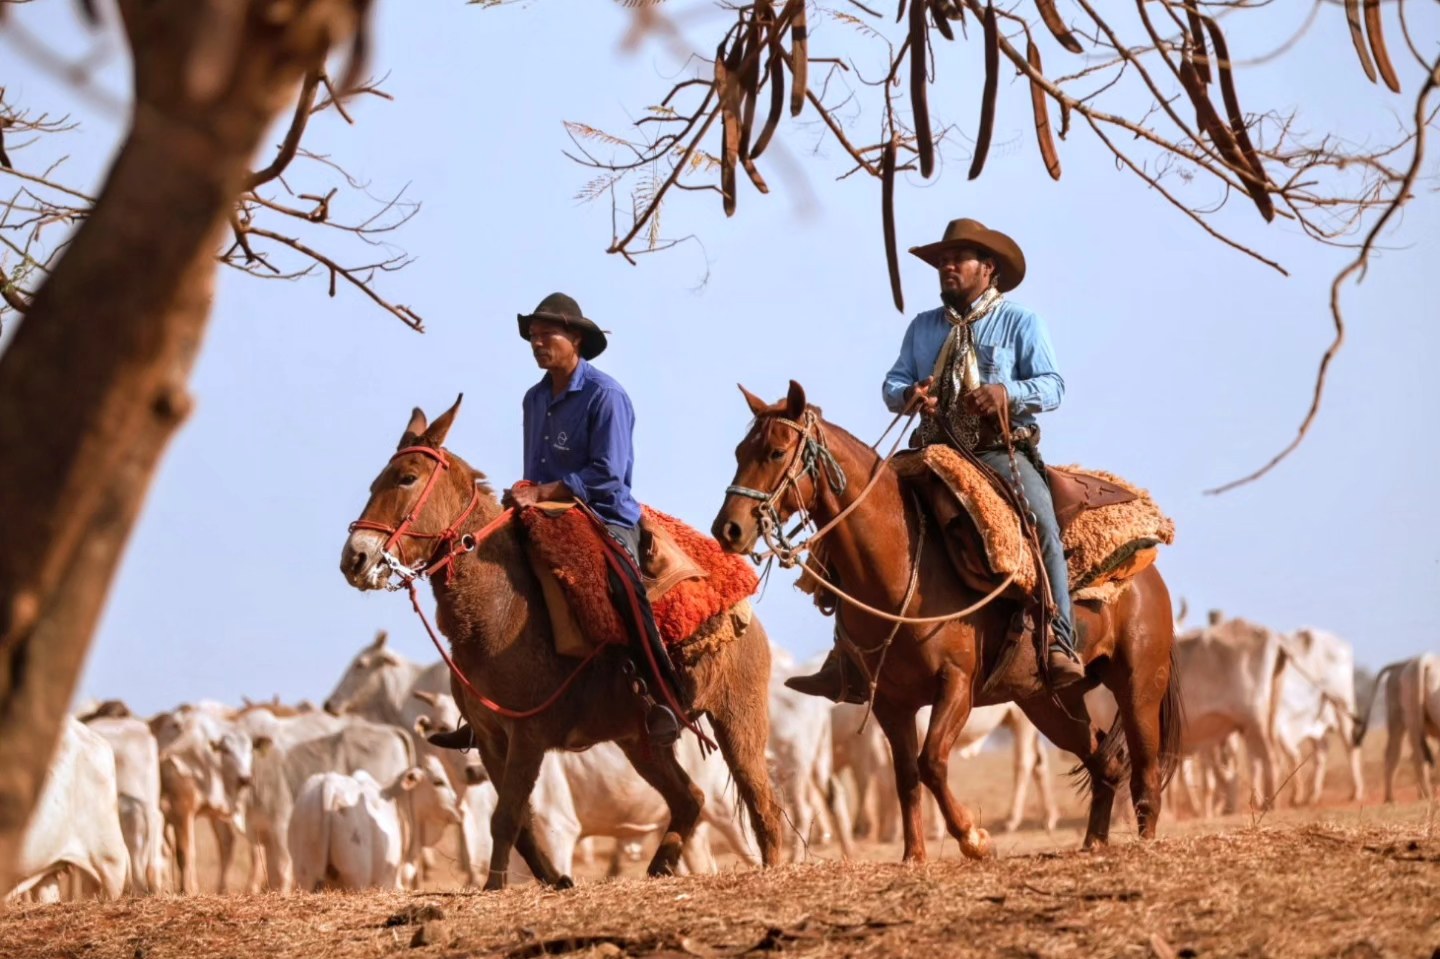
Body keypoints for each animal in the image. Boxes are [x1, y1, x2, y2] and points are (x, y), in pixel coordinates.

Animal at [341, 397, 783, 887]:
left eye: (407, 478)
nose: (355, 557)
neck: (500, 609)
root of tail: (744, 607)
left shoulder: (527, 736)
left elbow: (506, 817)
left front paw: (496, 886)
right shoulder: (491, 740)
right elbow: (520, 823)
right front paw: (555, 878)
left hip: (738, 717)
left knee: (762, 805)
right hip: (640, 740)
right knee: (689, 799)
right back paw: (659, 865)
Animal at [711, 385, 1180, 852]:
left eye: (775, 452)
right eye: (738, 451)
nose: (727, 529)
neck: (902, 570)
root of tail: (1149, 572)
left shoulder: (957, 684)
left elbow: (932, 761)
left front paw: (974, 838)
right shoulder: (891, 702)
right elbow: (906, 776)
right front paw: (914, 855)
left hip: (1138, 684)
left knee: (1144, 772)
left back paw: (1144, 841)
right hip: (1048, 701)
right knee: (1103, 761)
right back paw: (1093, 843)